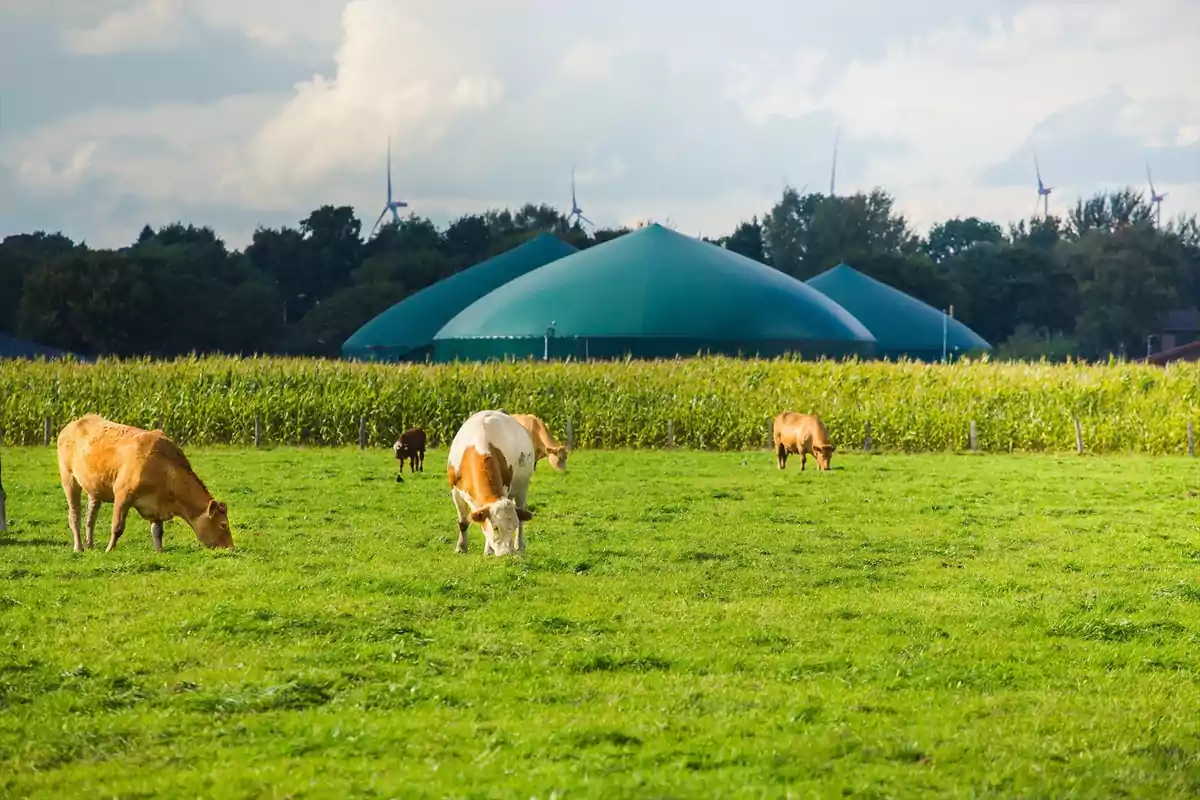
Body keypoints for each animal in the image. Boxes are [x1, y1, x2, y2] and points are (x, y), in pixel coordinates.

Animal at [56, 417, 235, 554]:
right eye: (223, 525)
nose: (231, 548)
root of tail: (72, 424)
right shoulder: (122, 495)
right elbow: (117, 527)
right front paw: (109, 549)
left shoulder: (157, 505)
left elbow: (158, 531)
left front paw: (159, 552)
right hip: (69, 478)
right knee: (75, 515)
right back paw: (79, 547)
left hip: (95, 488)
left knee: (90, 517)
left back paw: (90, 545)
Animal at [448, 412, 537, 556]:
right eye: (495, 528)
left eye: (512, 527)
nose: (506, 553)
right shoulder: (455, 491)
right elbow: (463, 522)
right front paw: (461, 547)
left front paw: (488, 551)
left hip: (522, 488)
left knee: (522, 517)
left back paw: (519, 545)